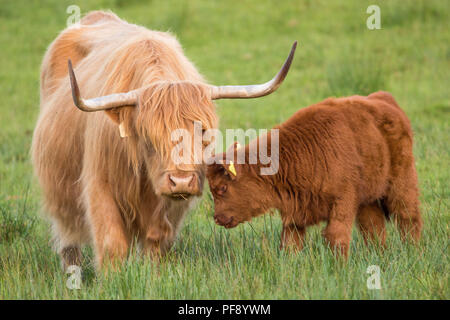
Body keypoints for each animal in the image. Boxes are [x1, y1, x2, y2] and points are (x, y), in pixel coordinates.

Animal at [32, 10, 298, 270]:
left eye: (202, 131)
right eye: (147, 135)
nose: (180, 181)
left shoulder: (174, 203)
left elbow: (156, 241)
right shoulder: (100, 183)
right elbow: (111, 243)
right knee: (69, 241)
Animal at [207, 91, 422, 256]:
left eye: (223, 187)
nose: (217, 218)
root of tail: (385, 100)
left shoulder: (342, 202)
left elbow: (336, 237)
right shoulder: (294, 217)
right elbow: (290, 245)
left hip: (401, 184)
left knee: (408, 218)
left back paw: (413, 252)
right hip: (368, 199)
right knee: (374, 227)